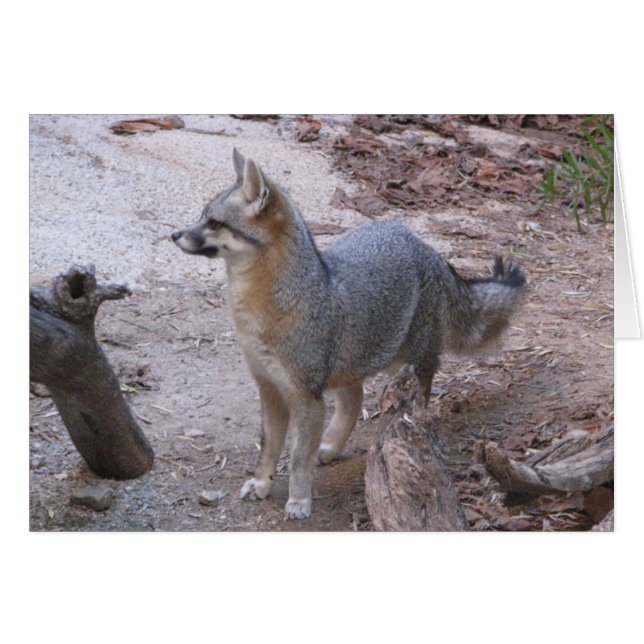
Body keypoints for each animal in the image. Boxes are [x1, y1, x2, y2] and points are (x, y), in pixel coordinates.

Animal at [171, 148, 526, 520]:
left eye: (213, 223)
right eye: (202, 217)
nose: (174, 235)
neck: (262, 311)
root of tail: (422, 245)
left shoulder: (306, 397)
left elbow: (297, 457)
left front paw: (299, 499)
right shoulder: (269, 388)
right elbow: (268, 447)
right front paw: (262, 483)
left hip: (409, 360)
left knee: (419, 387)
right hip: (350, 367)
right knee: (354, 400)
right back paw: (330, 446)